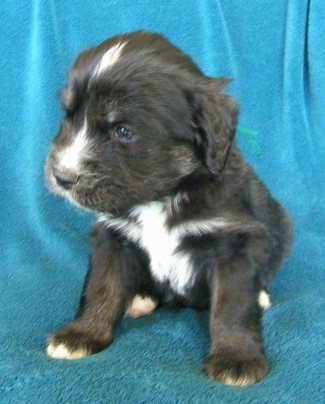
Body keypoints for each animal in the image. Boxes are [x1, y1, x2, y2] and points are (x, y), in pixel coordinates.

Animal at [45, 30, 292, 386]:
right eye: (69, 116)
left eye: (123, 131)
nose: (62, 177)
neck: (161, 197)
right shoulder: (112, 237)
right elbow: (100, 286)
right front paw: (81, 334)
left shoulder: (235, 243)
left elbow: (232, 305)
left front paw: (236, 358)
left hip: (282, 225)